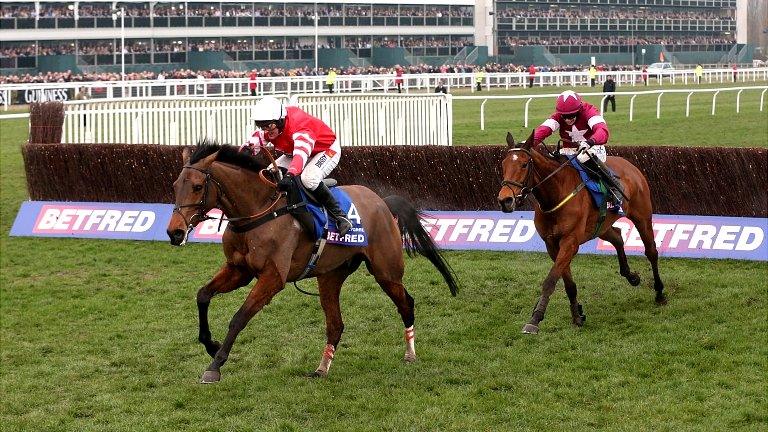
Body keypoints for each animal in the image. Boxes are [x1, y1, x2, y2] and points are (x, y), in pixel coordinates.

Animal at [166, 142, 456, 384]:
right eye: (175, 186)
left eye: (197, 187)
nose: (175, 232)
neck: (258, 211)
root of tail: (381, 202)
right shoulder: (239, 270)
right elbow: (203, 295)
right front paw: (210, 344)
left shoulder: (273, 277)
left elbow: (239, 317)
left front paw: (215, 365)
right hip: (330, 276)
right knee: (336, 324)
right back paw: (322, 369)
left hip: (386, 271)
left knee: (406, 303)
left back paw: (410, 354)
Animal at [498, 132, 664, 334]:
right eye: (504, 165)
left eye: (523, 164)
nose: (505, 200)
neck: (556, 193)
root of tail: (630, 165)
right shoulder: (552, 244)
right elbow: (568, 283)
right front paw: (577, 315)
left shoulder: (570, 242)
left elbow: (550, 280)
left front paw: (535, 319)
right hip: (600, 227)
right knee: (617, 236)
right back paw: (631, 276)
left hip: (642, 216)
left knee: (651, 251)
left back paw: (659, 292)